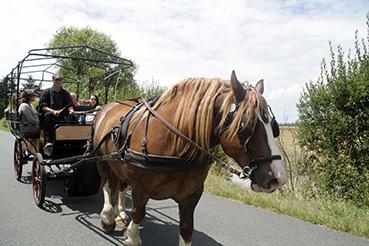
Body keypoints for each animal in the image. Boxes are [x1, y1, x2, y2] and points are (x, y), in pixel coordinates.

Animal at [92, 70, 288, 244]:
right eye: (246, 127)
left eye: (274, 127)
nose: (278, 178)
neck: (175, 146)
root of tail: (107, 107)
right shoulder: (140, 188)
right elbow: (138, 213)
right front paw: (131, 236)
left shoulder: (191, 196)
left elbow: (186, 228)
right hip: (102, 160)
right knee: (107, 185)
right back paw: (108, 217)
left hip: (119, 163)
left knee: (121, 187)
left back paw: (120, 214)